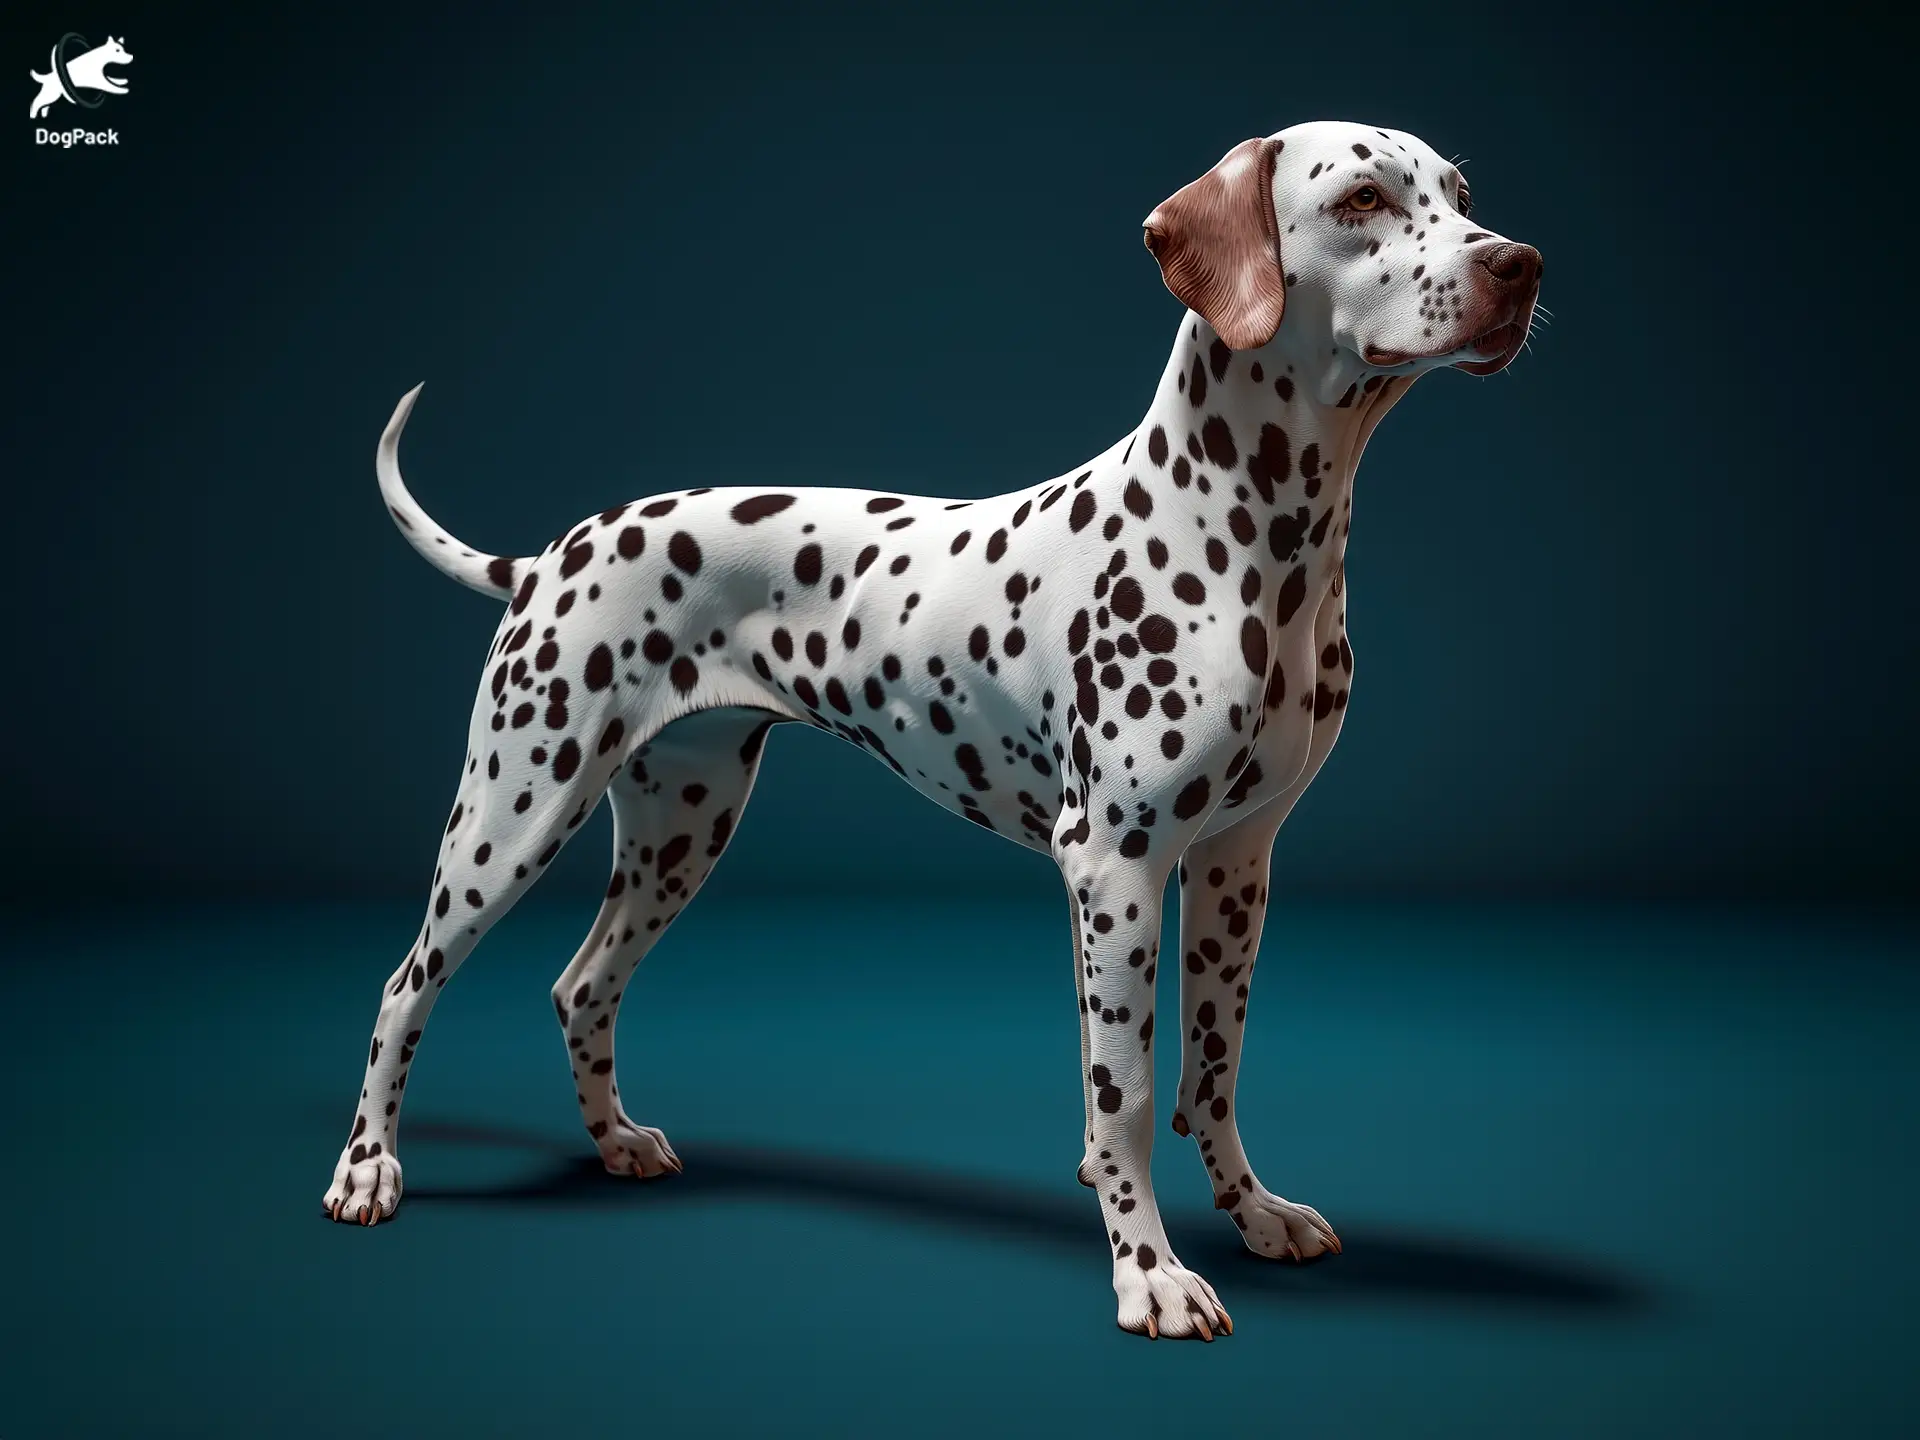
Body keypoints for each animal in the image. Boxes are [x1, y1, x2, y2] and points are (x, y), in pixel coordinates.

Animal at [318, 118, 1543, 1351]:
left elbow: (1214, 1070)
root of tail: (550, 555)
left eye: (1459, 194)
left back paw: (615, 1139)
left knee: (581, 987)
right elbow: (1128, 1097)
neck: (1258, 537)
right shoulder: (1116, 867)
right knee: (402, 986)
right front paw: (1148, 1271)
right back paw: (368, 1168)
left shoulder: (1237, 865)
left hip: (679, 832)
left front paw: (1252, 1212)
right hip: (513, 814)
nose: (1520, 264)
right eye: (1361, 200)